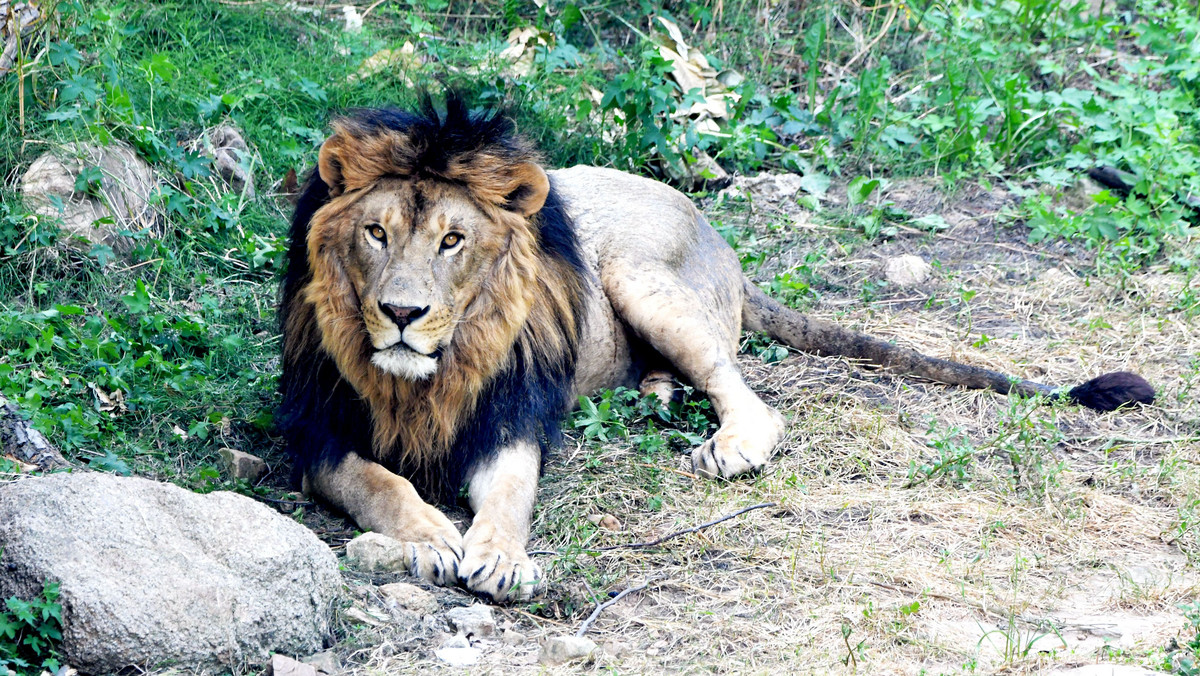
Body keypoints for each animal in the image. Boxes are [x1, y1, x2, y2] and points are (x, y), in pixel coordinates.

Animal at [278, 95, 1152, 602]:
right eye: (376, 232)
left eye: (453, 240)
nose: (401, 312)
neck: (429, 375)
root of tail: (718, 233)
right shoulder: (320, 435)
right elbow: (381, 484)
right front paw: (428, 539)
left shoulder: (512, 420)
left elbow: (509, 498)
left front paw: (495, 557)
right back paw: (656, 395)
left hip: (637, 272)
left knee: (750, 398)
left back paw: (724, 444)